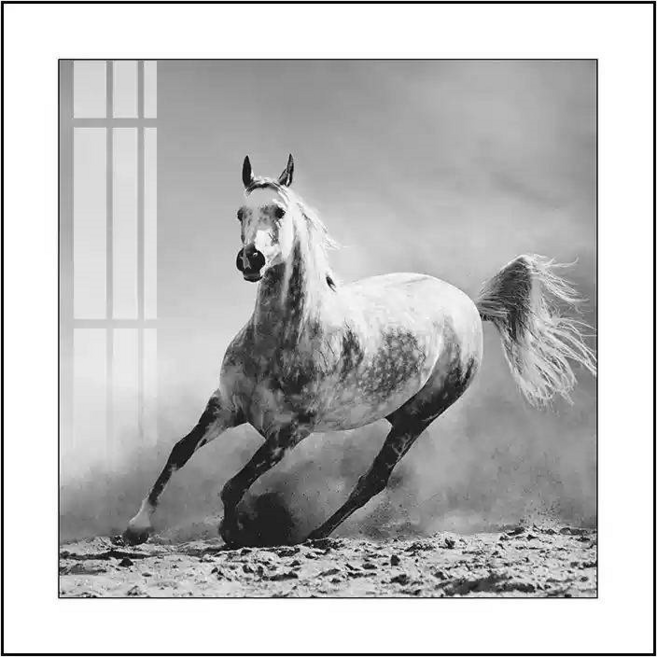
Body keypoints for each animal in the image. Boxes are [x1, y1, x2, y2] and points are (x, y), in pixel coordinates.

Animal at [123, 154, 596, 547]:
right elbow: (179, 453)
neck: (282, 341)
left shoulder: (288, 434)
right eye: (241, 212)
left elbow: (232, 486)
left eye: (279, 211)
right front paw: (136, 528)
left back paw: (315, 536)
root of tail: (469, 304)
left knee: (374, 480)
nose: (251, 260)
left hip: (416, 418)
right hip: (394, 412)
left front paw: (234, 533)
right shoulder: (225, 406)